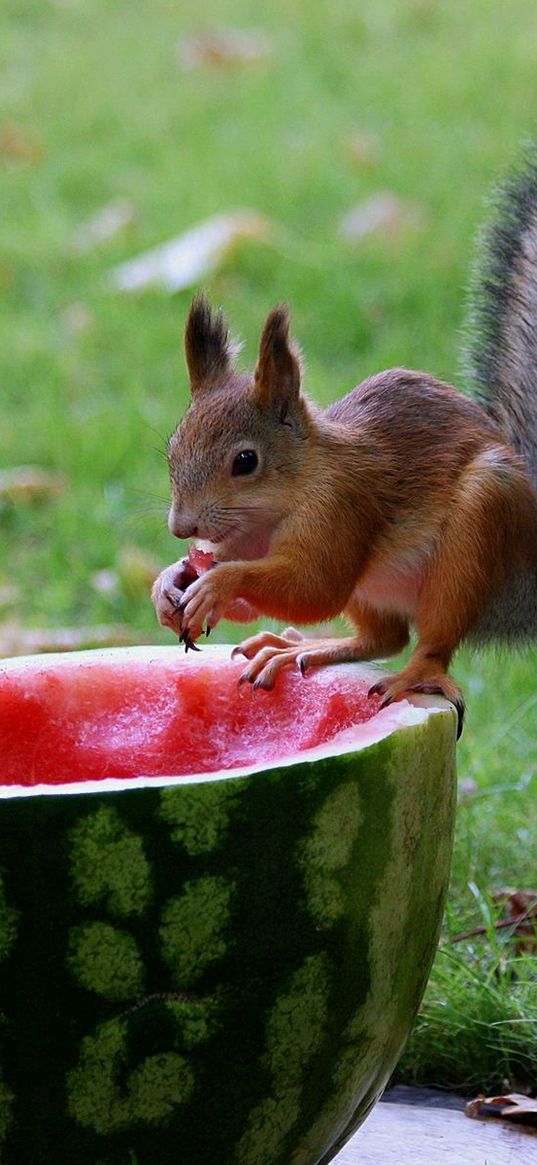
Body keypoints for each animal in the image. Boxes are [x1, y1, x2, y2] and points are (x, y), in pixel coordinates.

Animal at [150, 154, 537, 736]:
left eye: (245, 461)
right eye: (173, 451)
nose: (181, 527)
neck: (276, 508)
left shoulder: (343, 510)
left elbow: (314, 587)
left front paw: (217, 583)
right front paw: (170, 581)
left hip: (479, 530)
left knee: (429, 639)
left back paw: (413, 674)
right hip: (375, 590)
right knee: (383, 637)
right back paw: (296, 651)